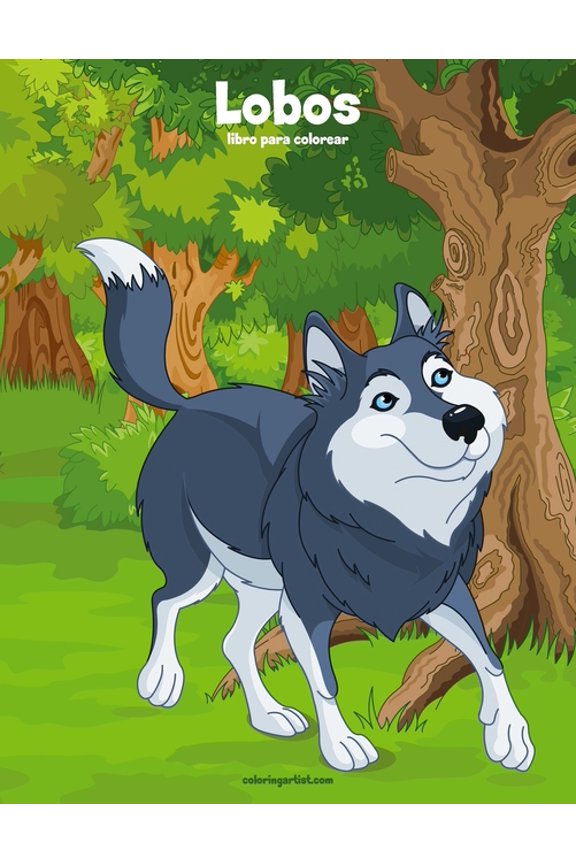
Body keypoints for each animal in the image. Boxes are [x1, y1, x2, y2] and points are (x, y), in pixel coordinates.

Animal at [78, 237, 534, 773]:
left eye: (441, 376)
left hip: (262, 583)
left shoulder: (442, 592)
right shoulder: (308, 607)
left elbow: (487, 655)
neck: (393, 514)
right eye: (384, 401)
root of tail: (192, 404)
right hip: (199, 566)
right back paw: (161, 679)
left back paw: (268, 716)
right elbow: (325, 679)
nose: (466, 419)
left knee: (233, 641)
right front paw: (342, 746)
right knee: (164, 600)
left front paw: (509, 733)